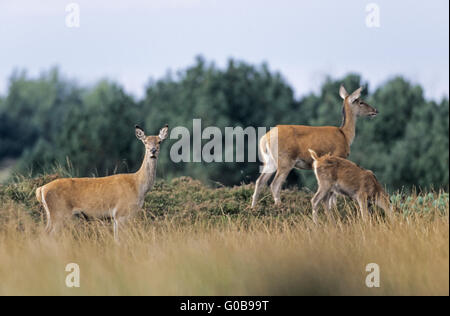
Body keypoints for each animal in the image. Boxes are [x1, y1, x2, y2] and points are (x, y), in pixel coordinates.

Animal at [35, 124, 169, 241]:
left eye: (159, 141)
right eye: (145, 141)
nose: (153, 151)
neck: (138, 186)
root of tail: (41, 189)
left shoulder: (117, 217)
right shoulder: (121, 213)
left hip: (52, 215)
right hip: (59, 213)